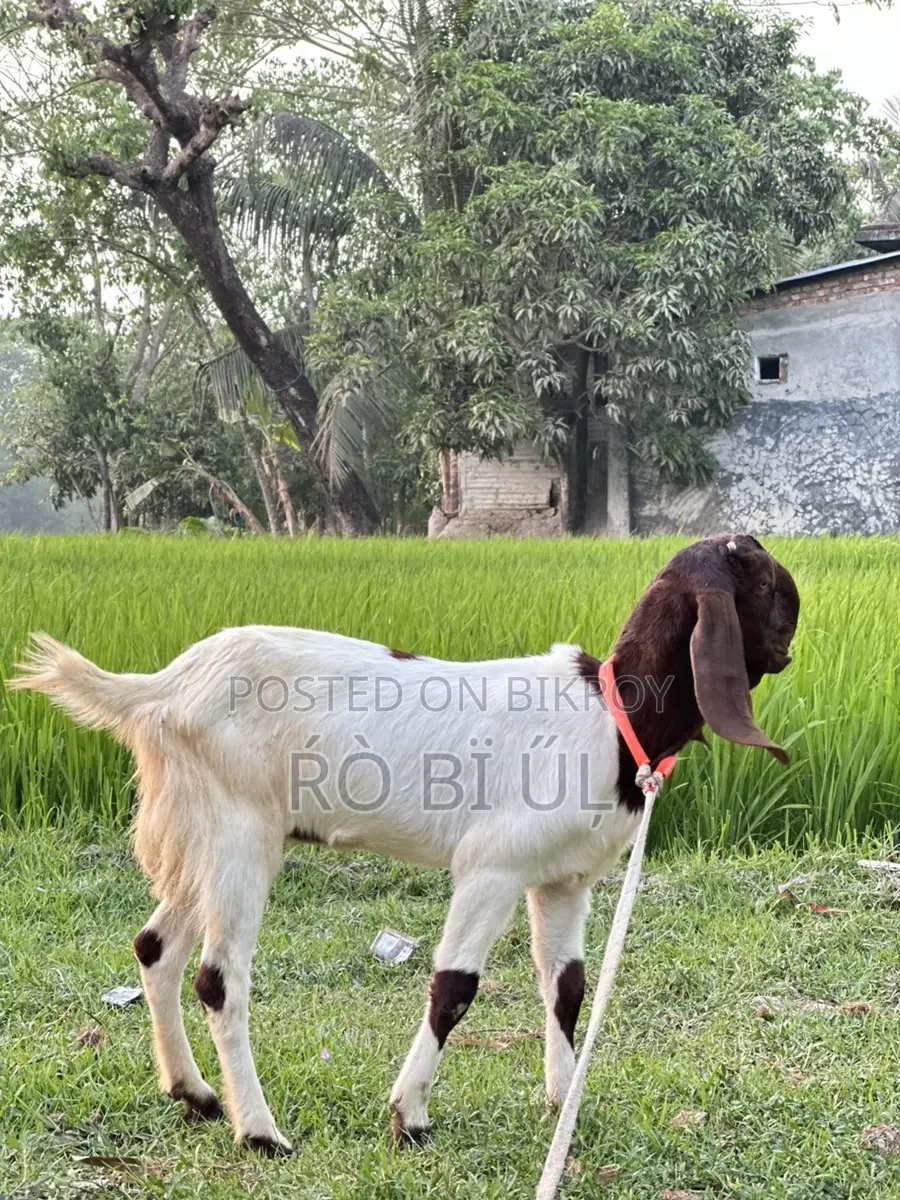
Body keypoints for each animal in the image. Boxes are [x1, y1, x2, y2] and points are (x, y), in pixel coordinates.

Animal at [9, 534, 798, 1154]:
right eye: (764, 585)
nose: (793, 638)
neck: (613, 716)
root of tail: (161, 689)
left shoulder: (562, 879)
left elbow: (567, 987)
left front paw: (562, 1100)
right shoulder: (492, 866)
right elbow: (454, 987)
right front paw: (409, 1115)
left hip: (198, 833)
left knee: (155, 948)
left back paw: (195, 1094)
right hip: (240, 832)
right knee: (216, 976)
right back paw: (260, 1131)